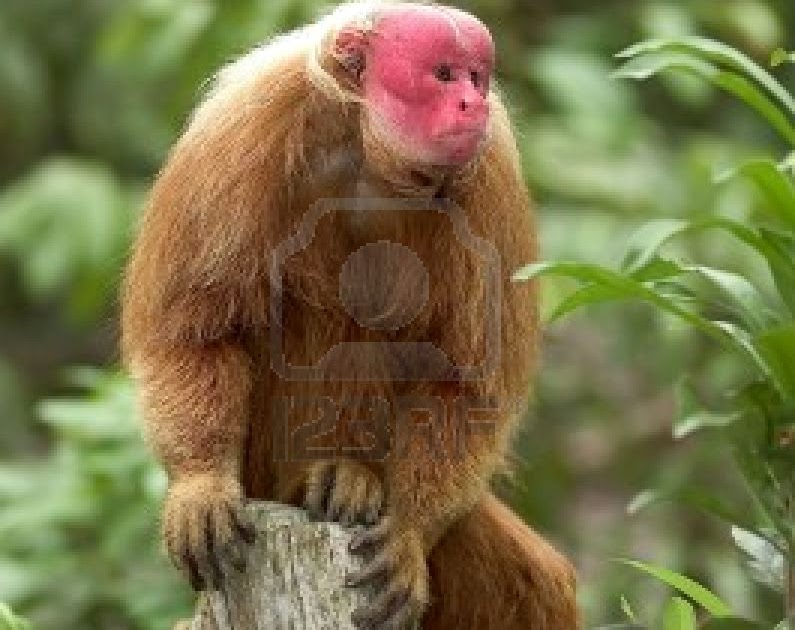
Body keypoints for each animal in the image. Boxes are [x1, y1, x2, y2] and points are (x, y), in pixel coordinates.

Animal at [121, 2, 580, 629]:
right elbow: (192, 334)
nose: (473, 104)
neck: (369, 154)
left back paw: (353, 479)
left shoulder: (493, 170)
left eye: (476, 78)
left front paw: (409, 528)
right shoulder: (242, 128)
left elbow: (468, 385)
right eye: (443, 75)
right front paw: (200, 482)